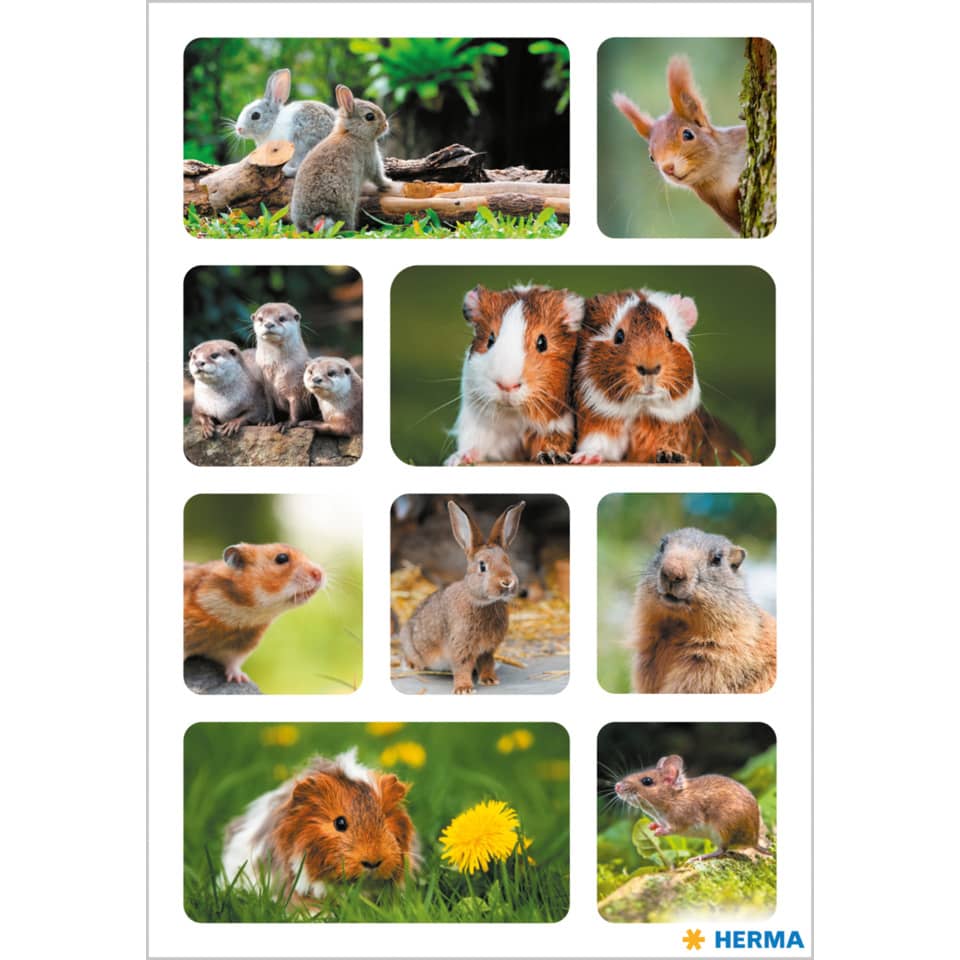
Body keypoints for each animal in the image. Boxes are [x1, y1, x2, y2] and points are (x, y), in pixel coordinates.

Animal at [290, 84, 393, 233]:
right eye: (370, 116)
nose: (385, 125)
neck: (352, 133)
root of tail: (316, 216)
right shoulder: (370, 159)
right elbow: (377, 176)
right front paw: (388, 183)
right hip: (346, 207)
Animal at [398, 500, 525, 694]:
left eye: (507, 561)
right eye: (482, 566)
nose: (507, 582)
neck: (482, 602)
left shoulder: (487, 649)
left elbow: (487, 662)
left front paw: (490, 680)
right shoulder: (461, 646)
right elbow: (462, 666)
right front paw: (464, 689)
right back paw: (411, 666)